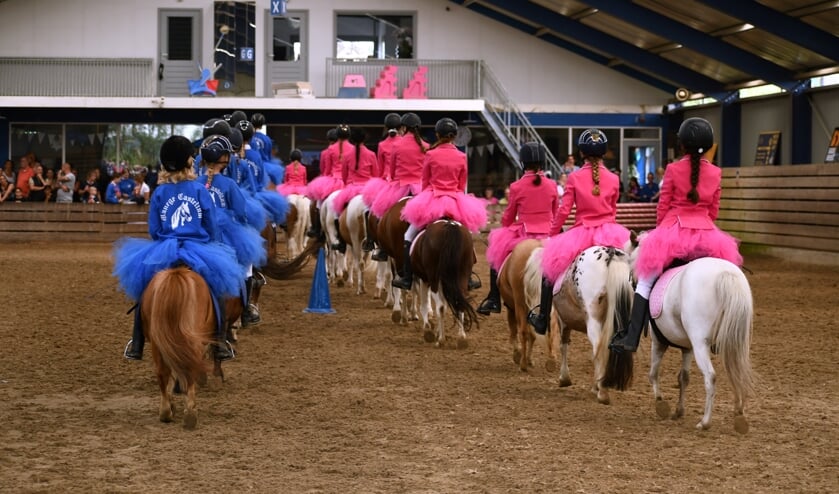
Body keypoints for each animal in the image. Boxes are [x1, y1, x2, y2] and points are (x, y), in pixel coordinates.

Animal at [140, 266, 220, 428]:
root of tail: (176, 275)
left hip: (158, 341)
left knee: (162, 372)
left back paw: (166, 412)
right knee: (187, 368)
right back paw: (188, 413)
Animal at [414, 218, 480, 350]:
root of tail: (450, 226)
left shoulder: (424, 279)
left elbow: (425, 303)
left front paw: (428, 329)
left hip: (434, 279)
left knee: (440, 306)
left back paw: (441, 340)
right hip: (462, 275)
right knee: (459, 303)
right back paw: (461, 338)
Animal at [608, 243, 756, 432]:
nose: (632, 281)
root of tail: (726, 274)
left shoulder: (659, 342)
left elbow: (653, 373)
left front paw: (661, 404)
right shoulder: (687, 348)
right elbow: (683, 378)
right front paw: (679, 410)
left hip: (701, 344)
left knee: (710, 377)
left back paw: (705, 422)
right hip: (733, 342)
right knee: (735, 372)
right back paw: (739, 414)